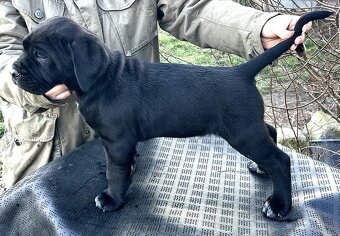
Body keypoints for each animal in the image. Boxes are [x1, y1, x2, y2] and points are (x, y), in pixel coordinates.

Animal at [9, 11, 332, 221]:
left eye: (40, 55)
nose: (12, 72)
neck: (102, 79)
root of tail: (241, 72)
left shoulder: (116, 141)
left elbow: (116, 172)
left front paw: (112, 198)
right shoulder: (120, 142)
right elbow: (123, 166)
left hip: (243, 133)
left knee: (281, 159)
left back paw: (279, 206)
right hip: (248, 126)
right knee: (271, 135)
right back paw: (261, 170)